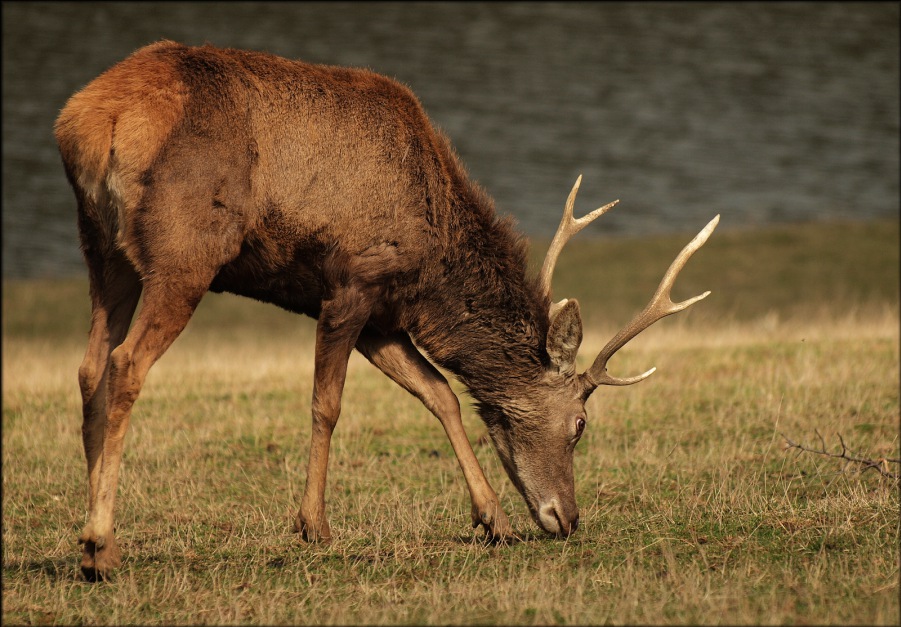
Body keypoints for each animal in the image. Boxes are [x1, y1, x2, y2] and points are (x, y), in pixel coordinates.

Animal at [55, 40, 718, 581]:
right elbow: (327, 404)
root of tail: (89, 121)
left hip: (101, 249)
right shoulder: (353, 281)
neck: (432, 267)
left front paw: (493, 520)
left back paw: (88, 542)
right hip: (184, 253)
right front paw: (314, 526)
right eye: (581, 425)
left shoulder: (383, 317)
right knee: (126, 364)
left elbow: (441, 395)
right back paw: (103, 546)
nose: (568, 518)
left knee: (89, 367)